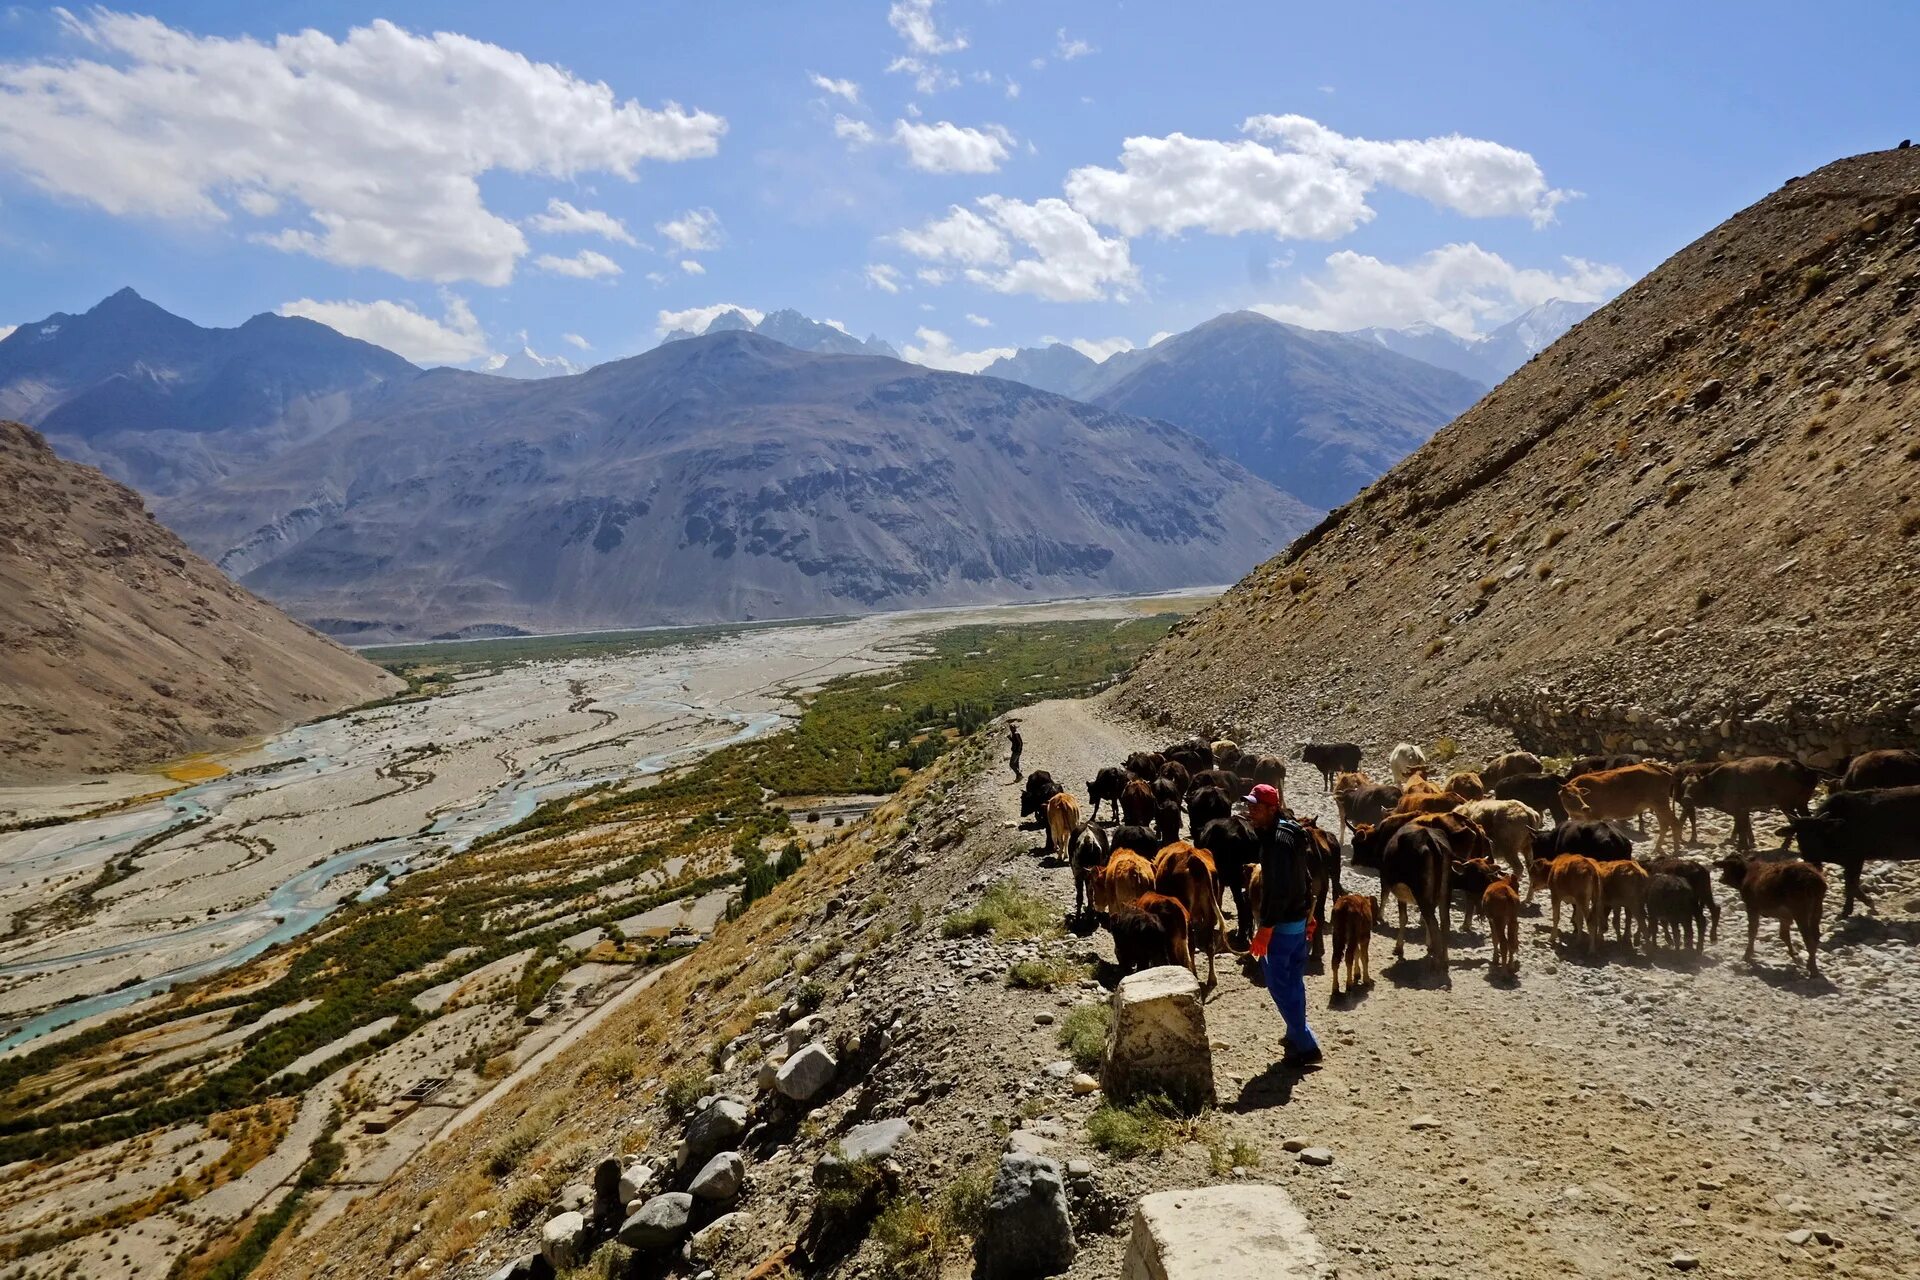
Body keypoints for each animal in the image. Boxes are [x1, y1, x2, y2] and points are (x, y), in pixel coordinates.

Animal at [1781, 786, 1920, 917]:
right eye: (1798, 835)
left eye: (1818, 833)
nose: (1811, 859)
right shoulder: (1849, 864)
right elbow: (1851, 885)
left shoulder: (1855, 860)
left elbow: (1851, 885)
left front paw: (1849, 910)